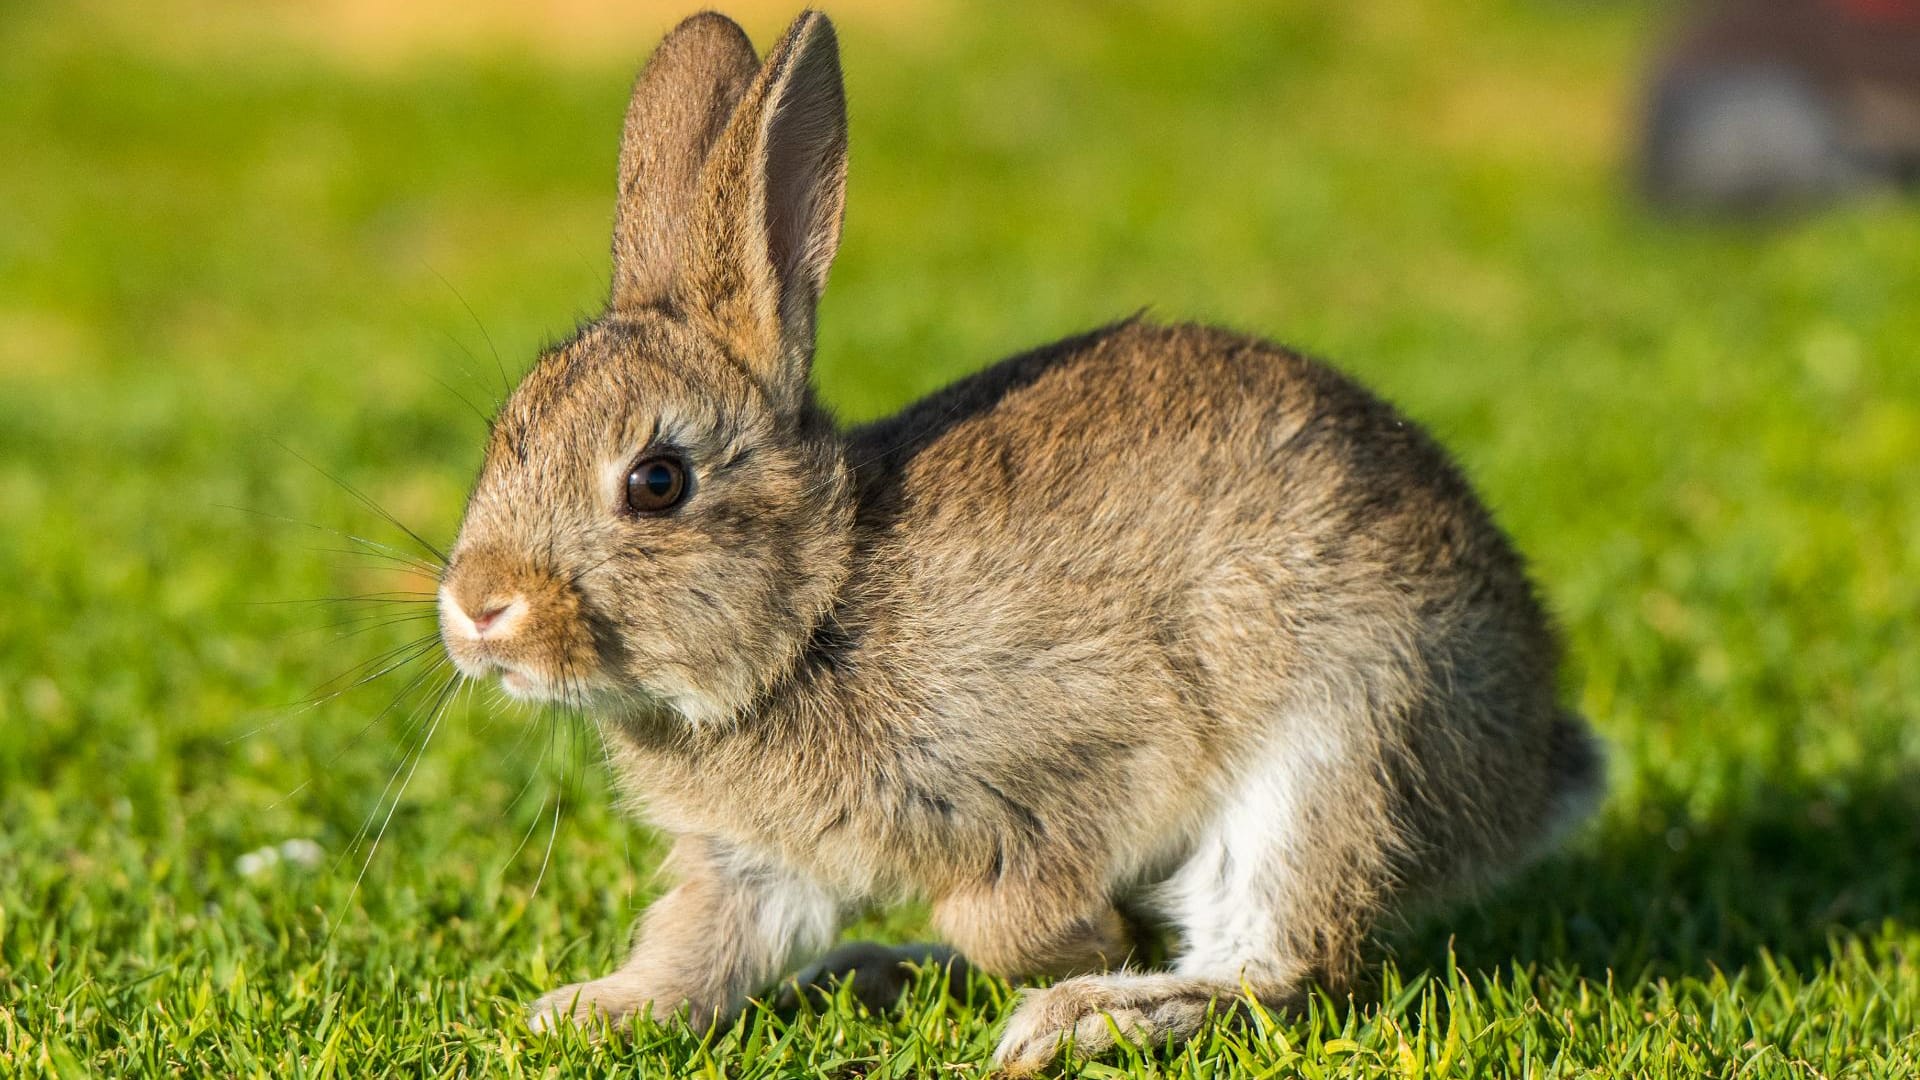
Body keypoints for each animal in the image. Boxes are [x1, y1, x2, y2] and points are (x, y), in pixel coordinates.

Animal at [439, 8, 1605, 1068]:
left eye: (657, 481)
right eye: (503, 437)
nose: (476, 608)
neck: (817, 611)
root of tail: (1533, 770)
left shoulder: (1098, 752)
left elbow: (1010, 912)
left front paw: (1089, 949)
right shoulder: (753, 864)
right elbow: (701, 950)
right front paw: (585, 1013)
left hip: (1339, 750)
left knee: (1278, 966)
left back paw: (1081, 1016)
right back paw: (878, 971)